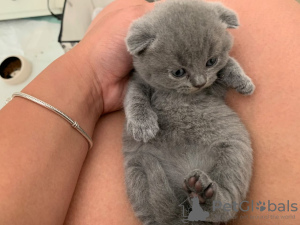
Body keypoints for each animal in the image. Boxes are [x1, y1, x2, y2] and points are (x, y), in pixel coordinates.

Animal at [122, 0, 255, 224]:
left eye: (211, 61)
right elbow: (134, 98)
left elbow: (228, 64)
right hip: (136, 170)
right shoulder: (138, 81)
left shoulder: (214, 86)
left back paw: (202, 193)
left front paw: (244, 82)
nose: (199, 82)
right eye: (178, 72)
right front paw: (143, 126)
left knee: (225, 205)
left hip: (234, 153)